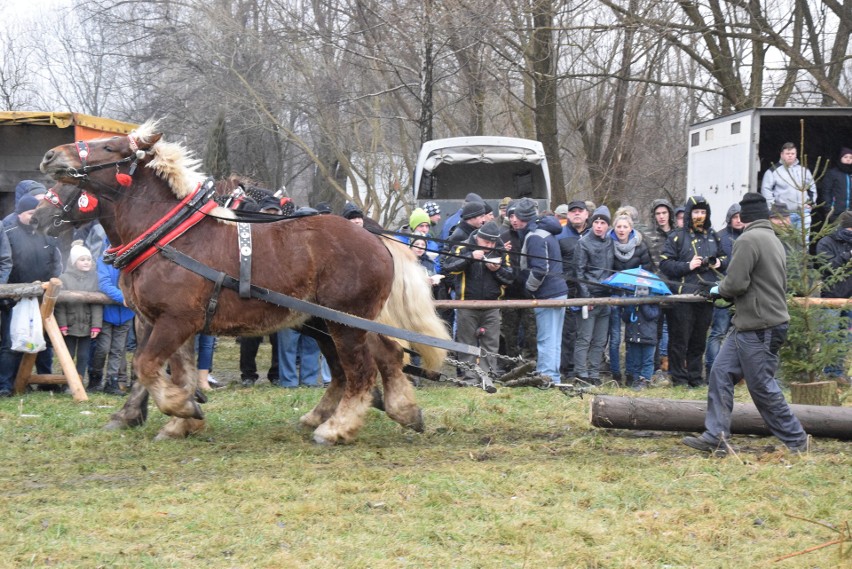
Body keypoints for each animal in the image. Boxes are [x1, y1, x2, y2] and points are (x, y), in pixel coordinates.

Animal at [38, 122, 452, 444]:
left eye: (108, 147)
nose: (50, 156)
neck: (167, 236)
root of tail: (376, 238)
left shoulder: (176, 320)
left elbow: (146, 365)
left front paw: (181, 409)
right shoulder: (155, 321)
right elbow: (173, 372)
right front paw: (178, 419)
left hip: (346, 322)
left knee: (362, 370)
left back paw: (338, 428)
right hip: (331, 323)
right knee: (378, 359)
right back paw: (396, 411)